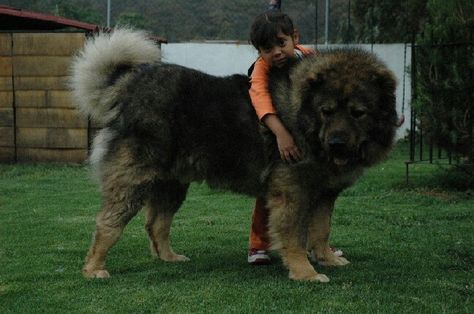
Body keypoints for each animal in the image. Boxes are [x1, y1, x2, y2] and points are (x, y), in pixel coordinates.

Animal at [69, 29, 396, 282]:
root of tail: (128, 87)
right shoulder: (292, 193)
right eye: (326, 111)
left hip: (172, 185)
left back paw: (169, 257)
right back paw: (94, 268)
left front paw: (327, 258)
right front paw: (305, 272)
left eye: (358, 113)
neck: (303, 116)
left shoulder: (324, 194)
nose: (336, 143)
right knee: (108, 224)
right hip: (133, 181)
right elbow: (294, 236)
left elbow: (321, 230)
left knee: (157, 224)